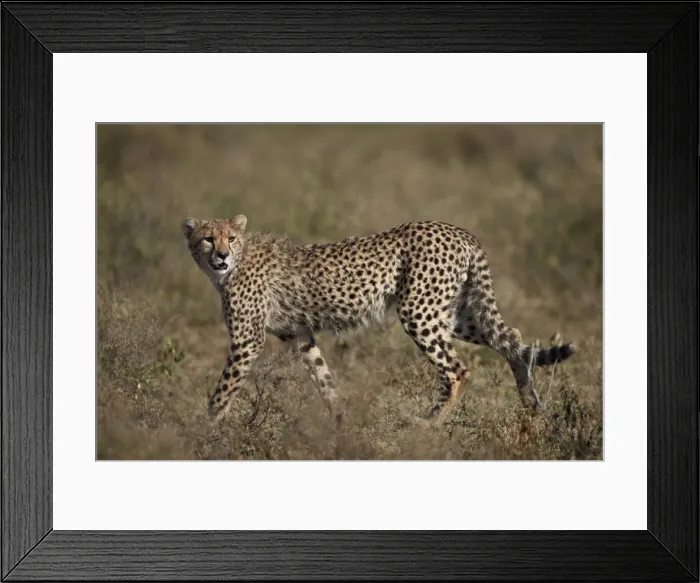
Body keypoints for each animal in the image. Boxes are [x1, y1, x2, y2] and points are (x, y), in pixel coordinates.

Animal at [182, 214, 576, 426]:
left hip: (419, 311)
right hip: (455, 313)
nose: (221, 256)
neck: (234, 264)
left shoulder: (247, 340)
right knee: (513, 338)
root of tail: (456, 230)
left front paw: (205, 430)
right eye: (207, 238)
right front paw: (341, 421)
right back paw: (530, 406)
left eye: (231, 238)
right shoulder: (300, 335)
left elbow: (223, 390)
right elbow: (323, 378)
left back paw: (427, 423)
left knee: (457, 370)